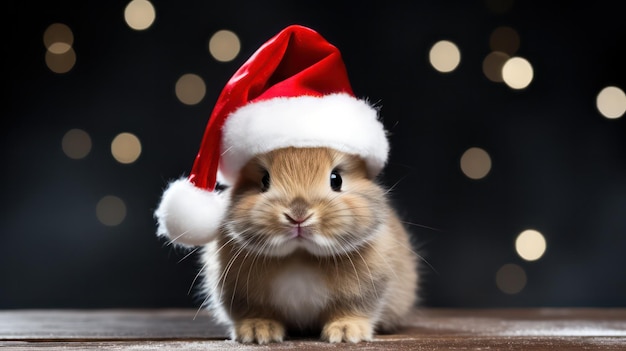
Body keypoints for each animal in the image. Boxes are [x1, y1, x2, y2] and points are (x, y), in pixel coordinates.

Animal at [195, 147, 420, 346]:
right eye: (264, 180)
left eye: (336, 179)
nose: (298, 214)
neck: (299, 255)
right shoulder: (242, 295)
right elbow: (254, 311)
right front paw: (257, 331)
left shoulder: (364, 291)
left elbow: (354, 309)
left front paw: (346, 332)